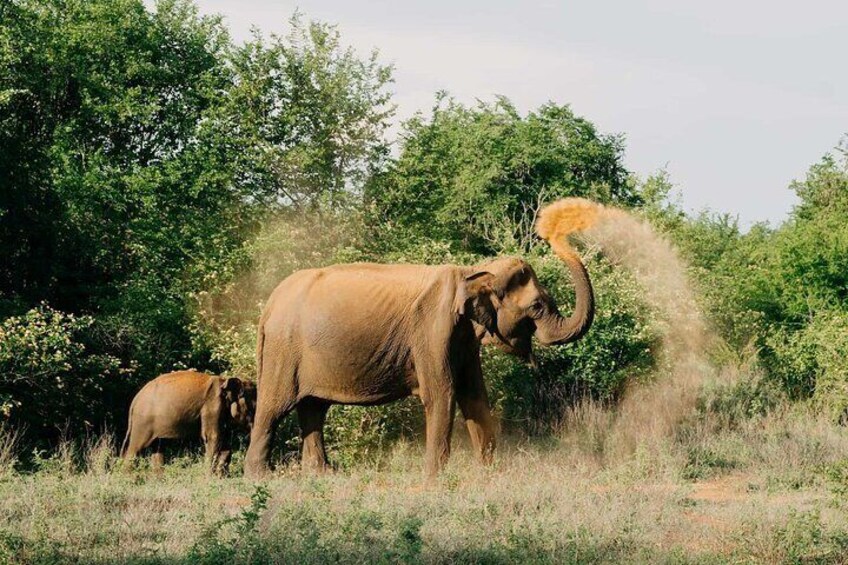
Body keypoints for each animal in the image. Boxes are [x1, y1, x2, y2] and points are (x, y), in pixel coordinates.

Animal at [121, 368, 256, 474]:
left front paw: (221, 477)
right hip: (143, 421)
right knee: (135, 449)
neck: (224, 380)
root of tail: (135, 400)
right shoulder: (212, 405)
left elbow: (225, 441)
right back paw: (129, 479)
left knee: (158, 447)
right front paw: (209, 479)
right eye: (254, 406)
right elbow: (212, 436)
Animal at [242, 234, 592, 476]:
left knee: (313, 408)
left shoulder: (463, 338)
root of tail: (269, 305)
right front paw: (435, 480)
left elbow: (474, 395)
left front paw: (490, 474)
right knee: (273, 407)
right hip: (283, 350)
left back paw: (321, 475)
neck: (472, 272)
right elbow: (441, 394)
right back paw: (259, 477)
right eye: (537, 306)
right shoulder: (432, 330)